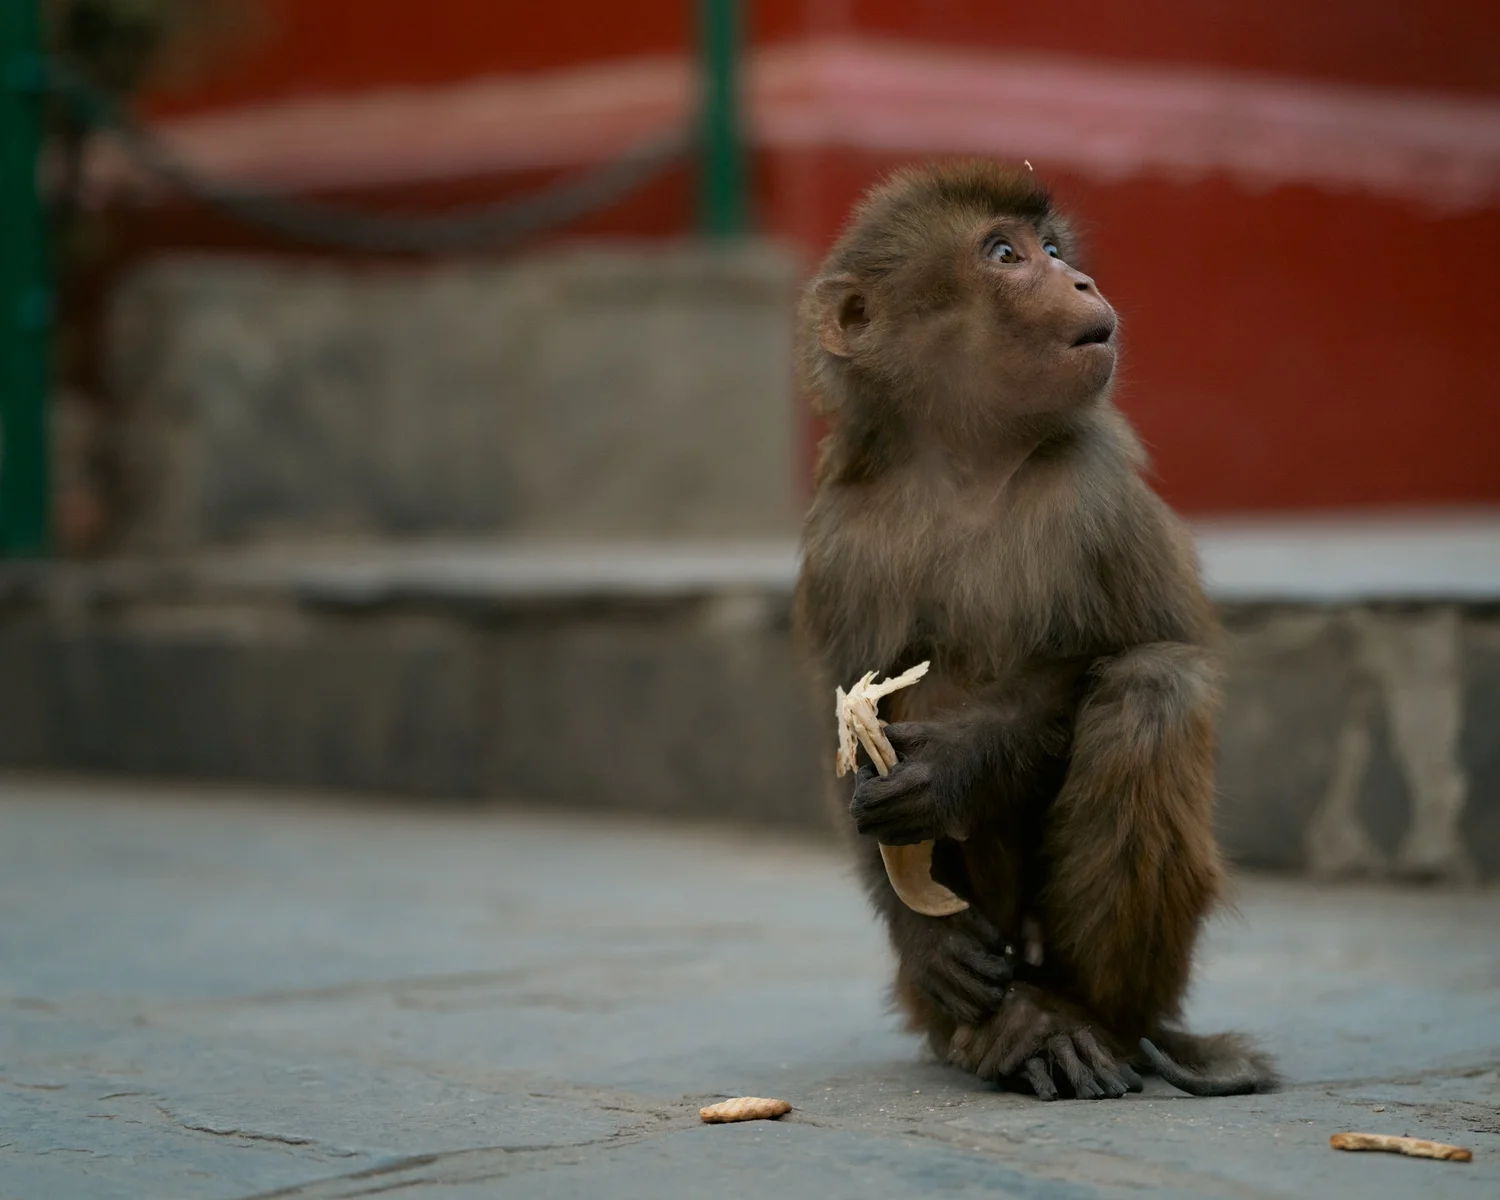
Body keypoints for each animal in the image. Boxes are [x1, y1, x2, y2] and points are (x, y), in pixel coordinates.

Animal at [792, 161, 1277, 1101]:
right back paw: (994, 1027)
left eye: (1051, 248)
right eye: (1006, 255)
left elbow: (1131, 651)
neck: (964, 462)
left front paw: (952, 766)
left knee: (1153, 690)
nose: (1079, 280)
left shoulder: (1095, 491)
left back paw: (1082, 1019)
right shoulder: (841, 539)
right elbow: (852, 724)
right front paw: (927, 937)